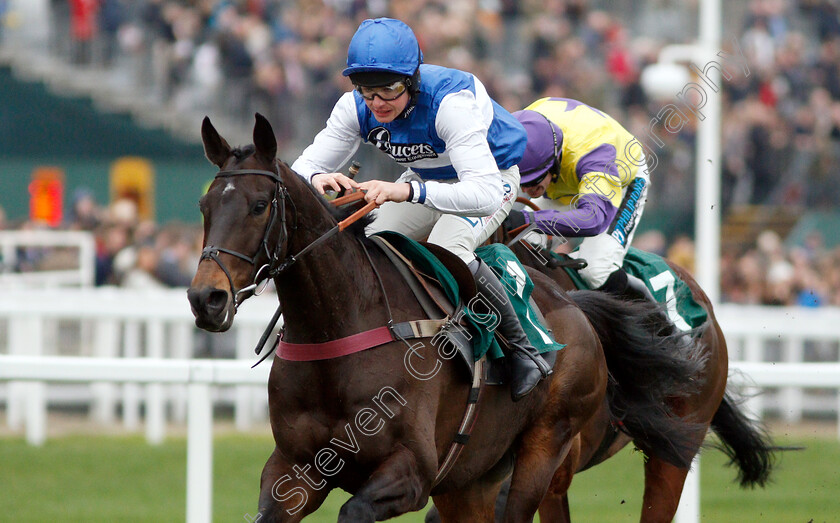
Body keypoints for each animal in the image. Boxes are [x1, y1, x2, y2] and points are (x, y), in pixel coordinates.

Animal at [187, 114, 704, 523]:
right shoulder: (294, 469)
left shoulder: (413, 472)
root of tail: (575, 307)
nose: (205, 298)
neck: (339, 329)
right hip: (471, 480)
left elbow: (354, 510)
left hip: (547, 452)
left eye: (259, 206)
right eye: (204, 205)